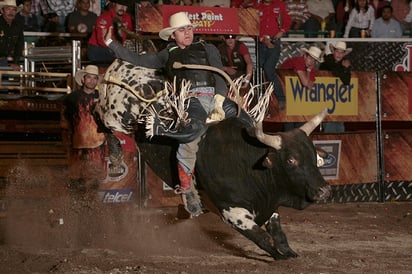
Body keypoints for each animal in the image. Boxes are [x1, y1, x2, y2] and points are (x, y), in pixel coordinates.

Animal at [93, 58, 332, 260]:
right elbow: (262, 237)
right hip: (116, 116)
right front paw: (278, 254)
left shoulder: (269, 202)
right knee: (98, 115)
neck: (246, 162)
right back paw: (115, 153)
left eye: (313, 156)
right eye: (291, 161)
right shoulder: (232, 212)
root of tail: (122, 64)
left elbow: (277, 230)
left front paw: (288, 251)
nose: (324, 190)